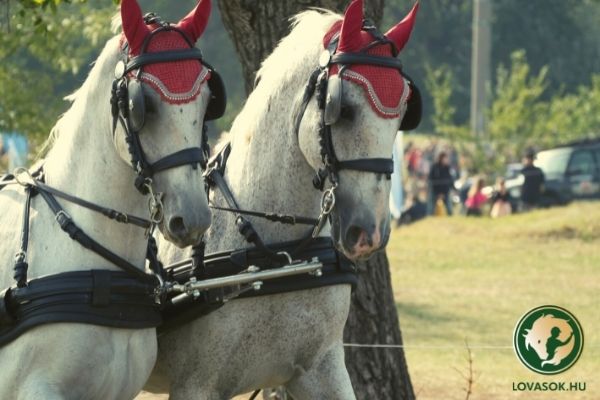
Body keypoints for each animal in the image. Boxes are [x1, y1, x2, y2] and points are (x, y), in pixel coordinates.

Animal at [152, 1, 420, 398]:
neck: (278, 256)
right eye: (344, 109)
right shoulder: (196, 384)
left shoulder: (320, 369)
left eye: (403, 112)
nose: (368, 232)